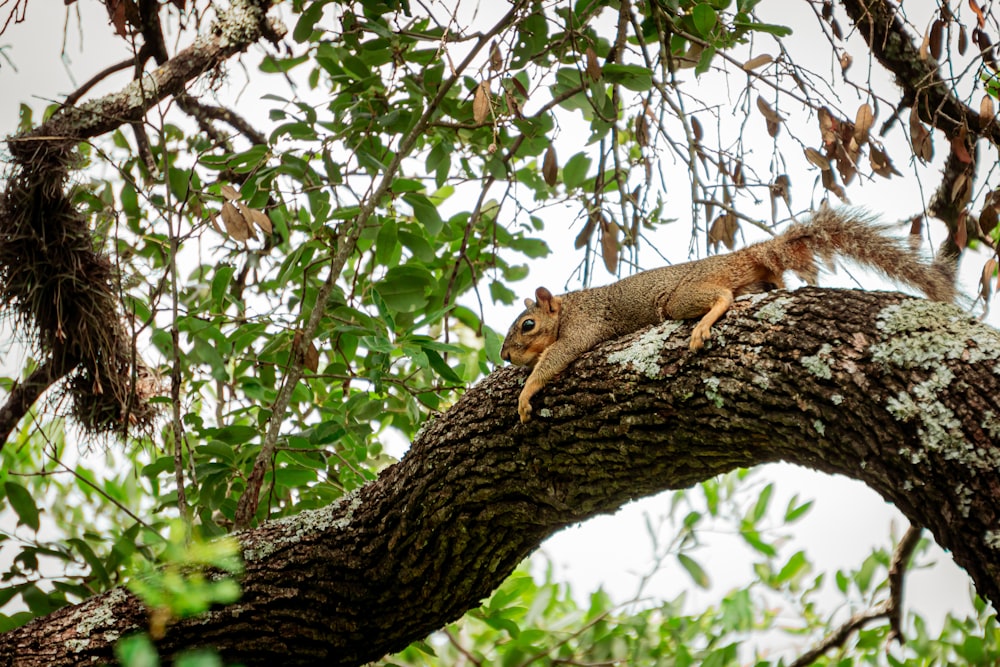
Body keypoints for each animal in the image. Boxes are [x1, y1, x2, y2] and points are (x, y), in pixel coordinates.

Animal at [500, 207, 952, 422]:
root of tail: (735, 258)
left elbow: (559, 355)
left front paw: (526, 392)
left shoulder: (582, 327)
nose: (504, 355)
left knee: (720, 296)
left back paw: (703, 325)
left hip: (681, 297)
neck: (567, 307)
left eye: (527, 325)